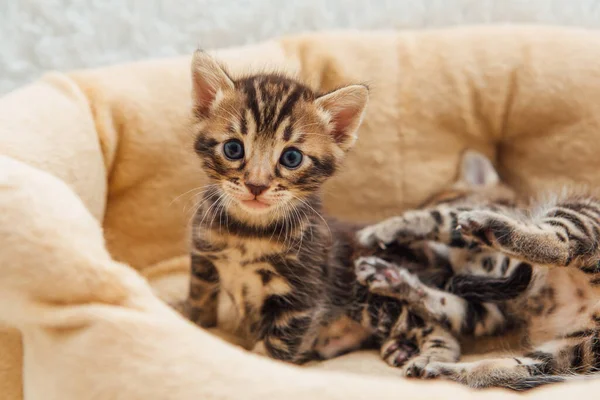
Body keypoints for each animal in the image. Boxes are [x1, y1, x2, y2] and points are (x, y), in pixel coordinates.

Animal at [354, 152, 600, 390]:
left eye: (442, 199)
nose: (418, 250)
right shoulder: (492, 310)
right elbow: (446, 305)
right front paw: (391, 278)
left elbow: (436, 218)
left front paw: (381, 230)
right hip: (568, 352)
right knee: (499, 372)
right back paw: (439, 368)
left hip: (584, 213)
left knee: (561, 245)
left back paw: (491, 227)